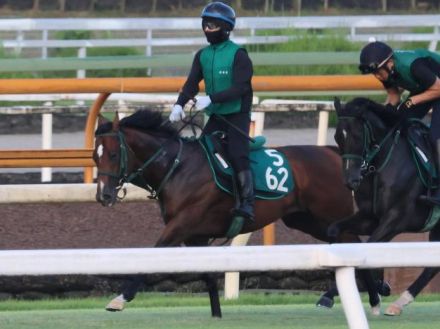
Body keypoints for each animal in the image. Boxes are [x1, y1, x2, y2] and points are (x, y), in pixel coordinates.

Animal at [93, 109, 384, 316]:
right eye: (95, 156)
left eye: (112, 154)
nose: (103, 196)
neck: (178, 167)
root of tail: (334, 154)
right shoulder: (195, 235)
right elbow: (208, 274)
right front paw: (216, 314)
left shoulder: (181, 225)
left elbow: (151, 255)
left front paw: (120, 298)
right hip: (309, 221)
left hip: (331, 215)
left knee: (356, 246)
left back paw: (373, 299)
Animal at [330, 97, 440, 316]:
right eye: (338, 137)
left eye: (357, 136)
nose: (351, 181)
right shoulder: (370, 218)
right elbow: (335, 231)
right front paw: (377, 293)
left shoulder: (396, 219)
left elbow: (367, 252)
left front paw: (376, 296)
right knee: (433, 266)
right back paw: (400, 301)